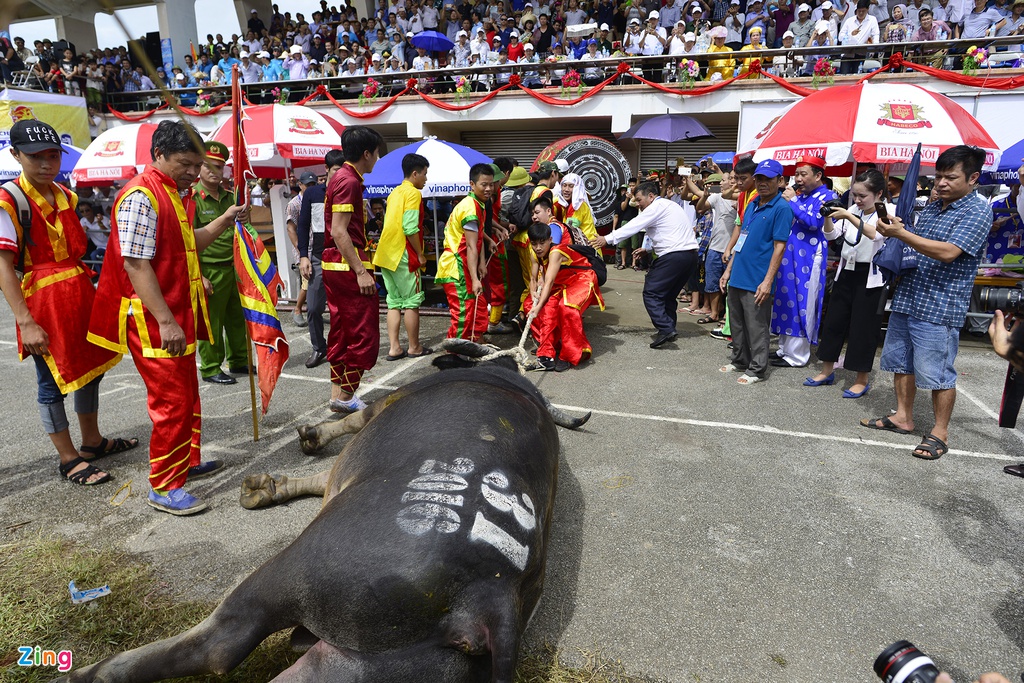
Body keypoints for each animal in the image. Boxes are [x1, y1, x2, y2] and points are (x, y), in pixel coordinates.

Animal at [58, 342, 593, 683]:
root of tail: (489, 595)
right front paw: (266, 486)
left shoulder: (375, 411)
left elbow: (347, 423)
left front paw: (304, 443)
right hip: (364, 668)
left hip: (295, 575)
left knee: (220, 643)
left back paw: (85, 673)